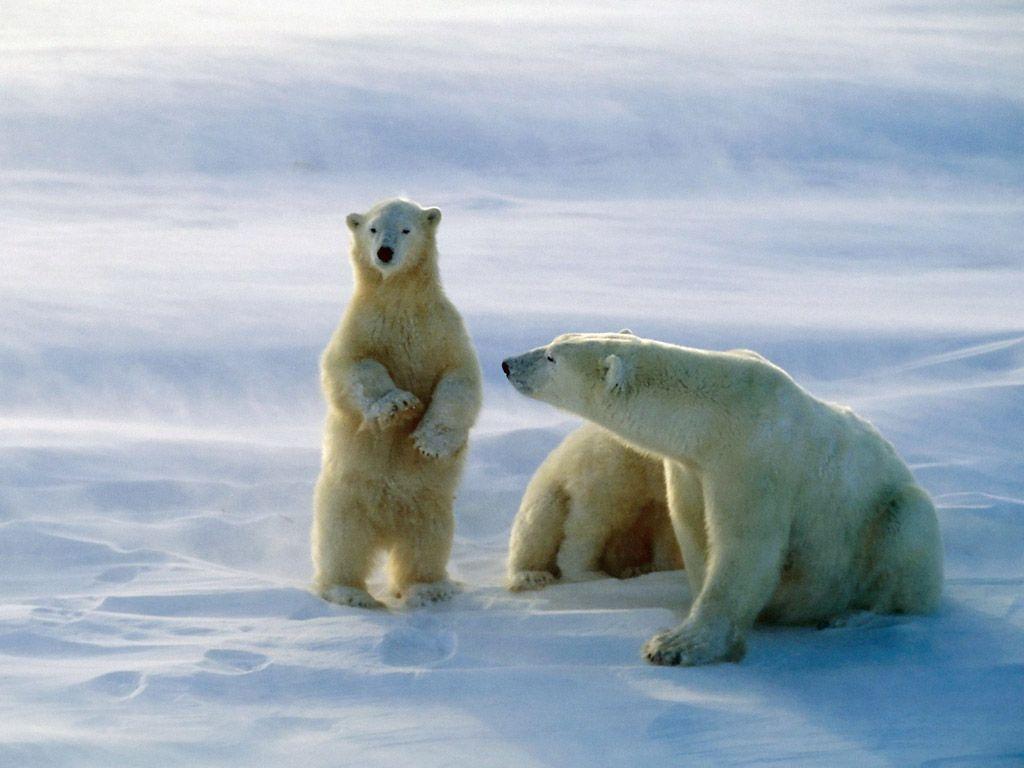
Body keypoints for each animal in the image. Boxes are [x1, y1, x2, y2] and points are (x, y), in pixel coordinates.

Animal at [311, 198, 482, 609]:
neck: (400, 300)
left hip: (430, 504)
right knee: (342, 543)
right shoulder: (362, 327)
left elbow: (459, 380)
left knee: (425, 543)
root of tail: (386, 527)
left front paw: (428, 441)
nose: (384, 253)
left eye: (405, 229)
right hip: (344, 497)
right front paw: (398, 405)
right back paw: (349, 592)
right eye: (372, 228)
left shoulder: (441, 331)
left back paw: (429, 588)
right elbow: (353, 368)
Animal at [507, 421, 683, 591]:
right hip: (548, 489)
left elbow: (668, 532)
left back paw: (636, 568)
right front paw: (589, 574)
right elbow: (591, 521)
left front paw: (661, 568)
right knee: (540, 524)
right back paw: (532, 575)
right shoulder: (615, 467)